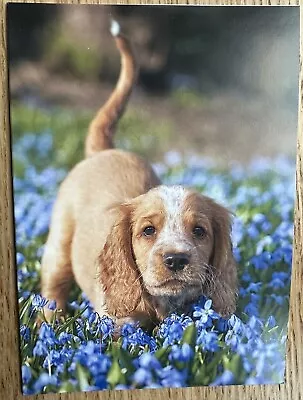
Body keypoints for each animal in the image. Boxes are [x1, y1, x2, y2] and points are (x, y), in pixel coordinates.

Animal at [41, 21, 239, 324]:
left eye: (199, 231)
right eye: (148, 231)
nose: (176, 259)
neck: (165, 303)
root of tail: (104, 149)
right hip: (59, 245)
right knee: (53, 290)